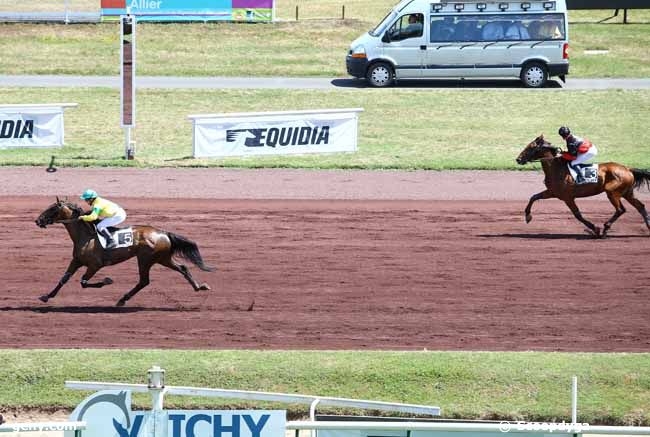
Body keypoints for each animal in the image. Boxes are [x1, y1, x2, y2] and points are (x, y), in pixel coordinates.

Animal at [35, 199, 214, 304]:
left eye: (52, 209)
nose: (38, 220)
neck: (86, 237)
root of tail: (163, 232)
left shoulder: (95, 265)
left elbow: (84, 282)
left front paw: (107, 281)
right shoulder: (77, 261)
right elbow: (64, 278)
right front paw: (47, 296)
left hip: (145, 259)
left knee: (144, 281)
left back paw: (123, 299)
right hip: (162, 258)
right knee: (182, 268)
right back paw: (199, 287)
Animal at [516, 135, 648, 238]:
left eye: (531, 147)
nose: (518, 159)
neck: (556, 168)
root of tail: (628, 169)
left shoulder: (567, 197)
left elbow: (577, 215)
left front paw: (595, 229)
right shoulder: (552, 192)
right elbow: (534, 197)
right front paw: (528, 216)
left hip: (612, 192)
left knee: (620, 210)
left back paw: (605, 228)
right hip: (626, 193)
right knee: (640, 206)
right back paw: (648, 227)